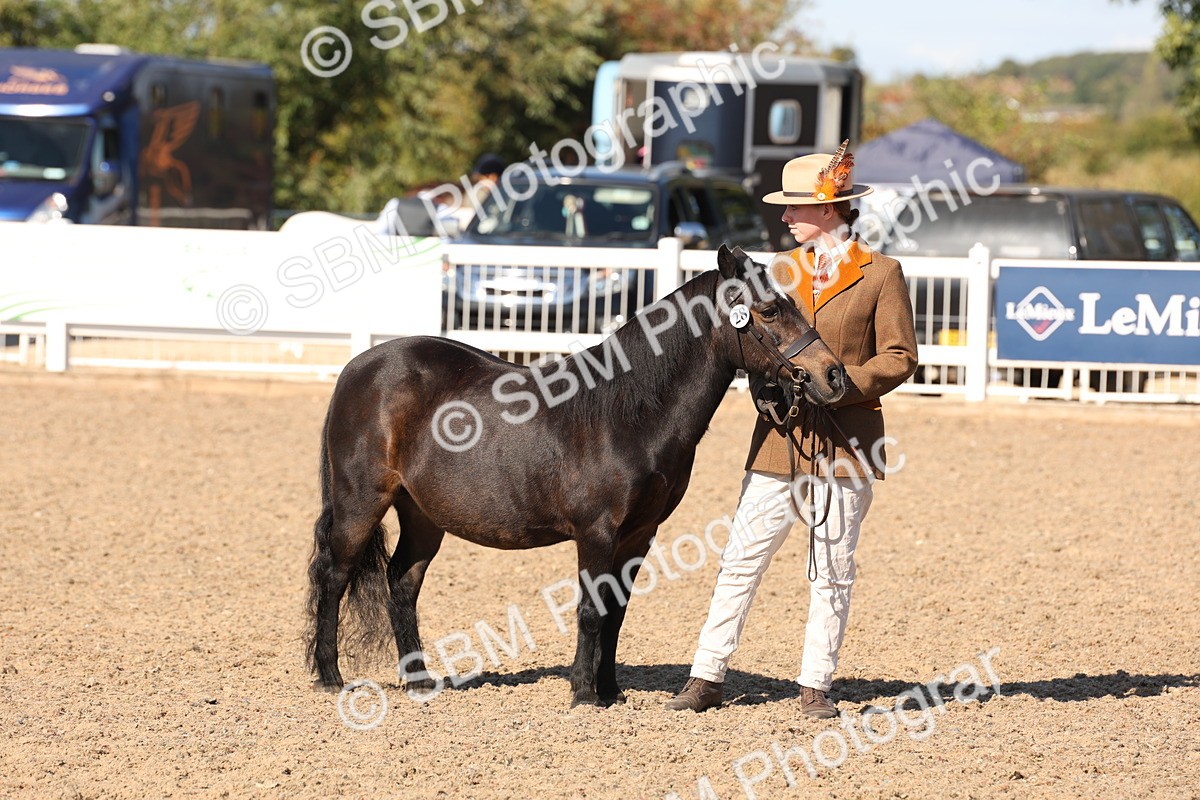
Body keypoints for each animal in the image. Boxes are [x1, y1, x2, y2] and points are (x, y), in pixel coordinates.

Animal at [305, 244, 848, 707]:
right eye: (770, 310)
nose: (833, 375)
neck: (628, 410)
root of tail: (359, 367)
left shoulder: (639, 534)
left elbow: (616, 613)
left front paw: (610, 691)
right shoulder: (597, 531)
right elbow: (590, 610)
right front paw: (584, 693)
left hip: (422, 515)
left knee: (402, 582)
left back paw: (418, 680)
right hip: (360, 505)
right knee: (334, 575)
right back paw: (330, 677)